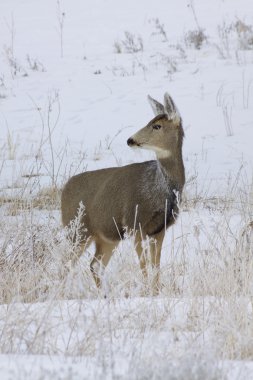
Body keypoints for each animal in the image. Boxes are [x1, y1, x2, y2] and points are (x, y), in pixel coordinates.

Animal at [60, 92, 185, 294]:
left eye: (157, 126)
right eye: (150, 122)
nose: (130, 140)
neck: (160, 192)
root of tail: (64, 190)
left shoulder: (160, 229)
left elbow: (155, 266)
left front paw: (156, 291)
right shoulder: (135, 223)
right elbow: (144, 265)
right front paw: (147, 291)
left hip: (106, 237)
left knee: (94, 265)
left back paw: (103, 294)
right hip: (77, 229)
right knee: (65, 263)